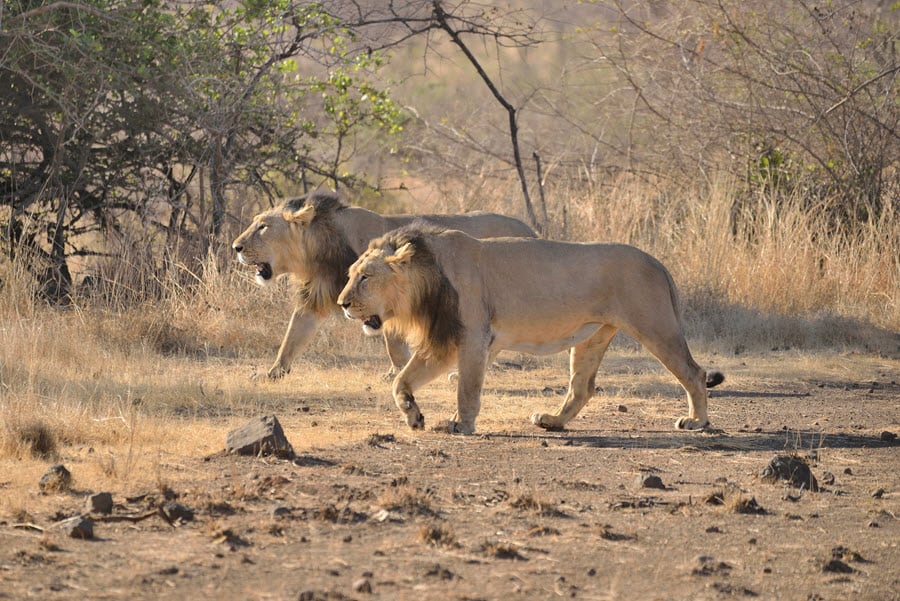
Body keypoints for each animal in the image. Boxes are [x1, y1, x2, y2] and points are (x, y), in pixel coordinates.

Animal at [232, 191, 536, 379]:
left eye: (262, 226)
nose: (236, 247)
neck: (316, 253)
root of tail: (529, 229)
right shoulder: (314, 297)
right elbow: (292, 336)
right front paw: (274, 372)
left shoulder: (389, 297)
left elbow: (394, 343)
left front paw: (397, 372)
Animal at [337, 224, 724, 435]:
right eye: (350, 275)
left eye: (365, 277)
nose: (342, 304)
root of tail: (657, 262)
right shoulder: (444, 342)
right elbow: (402, 380)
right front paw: (414, 416)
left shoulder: (473, 336)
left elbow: (467, 388)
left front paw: (461, 424)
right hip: (593, 335)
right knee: (582, 388)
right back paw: (552, 420)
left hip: (655, 325)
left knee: (693, 372)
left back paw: (696, 421)